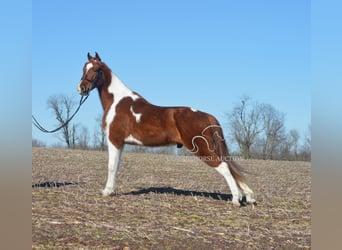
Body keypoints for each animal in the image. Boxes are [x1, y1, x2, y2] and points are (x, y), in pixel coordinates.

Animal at [76, 52, 255, 205]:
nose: (82, 88)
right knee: (229, 166)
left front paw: (107, 191)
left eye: (96, 69)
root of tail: (207, 116)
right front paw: (111, 190)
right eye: (84, 68)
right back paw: (248, 197)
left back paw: (236, 199)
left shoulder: (114, 140)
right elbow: (117, 166)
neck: (117, 101)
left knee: (224, 166)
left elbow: (111, 166)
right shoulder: (121, 143)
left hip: (202, 149)